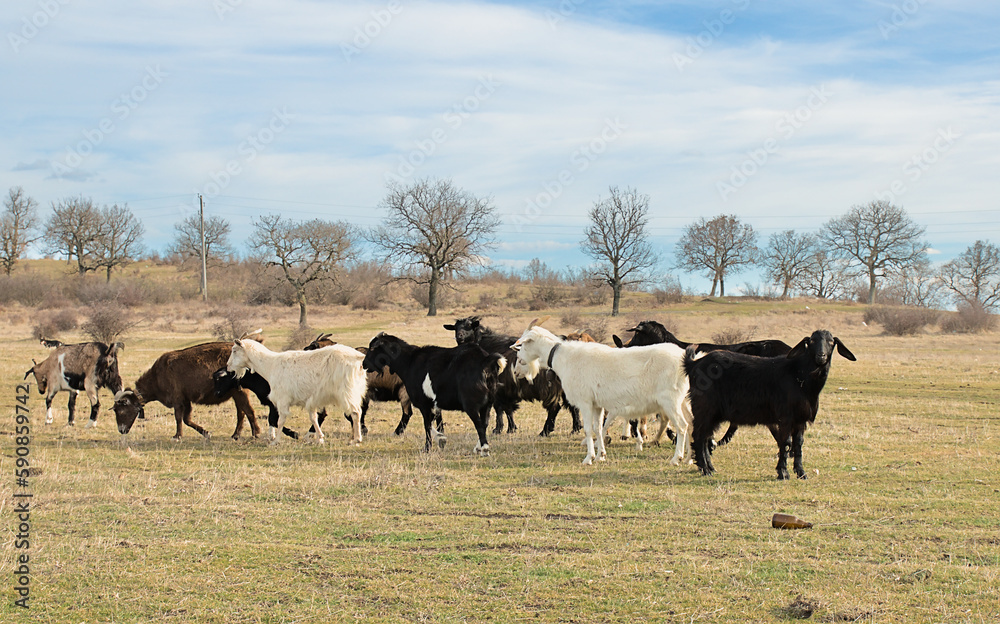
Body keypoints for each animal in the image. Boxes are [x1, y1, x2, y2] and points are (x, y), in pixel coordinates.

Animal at [113, 341, 259, 440]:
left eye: (120, 410)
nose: (121, 430)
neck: (158, 375)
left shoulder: (177, 400)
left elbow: (179, 418)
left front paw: (177, 436)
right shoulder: (186, 400)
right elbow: (187, 420)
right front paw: (206, 433)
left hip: (240, 392)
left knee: (249, 411)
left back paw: (255, 433)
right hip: (236, 394)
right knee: (241, 412)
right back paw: (236, 434)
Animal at [227, 339, 367, 445]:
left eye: (234, 350)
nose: (228, 366)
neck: (270, 364)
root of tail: (359, 358)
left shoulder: (282, 399)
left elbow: (280, 420)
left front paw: (276, 441)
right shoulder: (311, 400)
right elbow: (313, 418)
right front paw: (320, 438)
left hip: (347, 391)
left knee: (355, 412)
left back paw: (356, 439)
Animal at [362, 333, 506, 455]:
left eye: (373, 348)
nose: (364, 364)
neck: (409, 362)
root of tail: (485, 360)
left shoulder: (424, 403)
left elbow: (427, 424)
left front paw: (429, 447)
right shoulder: (434, 403)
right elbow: (435, 422)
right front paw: (441, 439)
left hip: (471, 404)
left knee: (479, 424)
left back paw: (484, 449)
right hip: (487, 403)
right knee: (484, 423)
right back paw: (478, 448)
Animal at [512, 325, 692, 466]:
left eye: (523, 345)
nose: (516, 370)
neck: (562, 357)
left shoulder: (585, 402)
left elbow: (587, 429)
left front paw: (588, 458)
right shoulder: (597, 404)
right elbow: (598, 428)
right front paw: (601, 455)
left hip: (671, 400)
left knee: (682, 426)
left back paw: (677, 458)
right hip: (683, 400)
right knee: (690, 423)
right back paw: (689, 458)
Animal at [684, 329, 856, 479]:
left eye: (831, 341)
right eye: (811, 341)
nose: (821, 356)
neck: (799, 376)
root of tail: (694, 364)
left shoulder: (800, 419)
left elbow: (798, 444)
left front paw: (801, 473)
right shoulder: (785, 417)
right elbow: (786, 443)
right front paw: (783, 473)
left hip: (713, 414)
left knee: (705, 437)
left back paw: (710, 467)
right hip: (704, 408)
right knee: (699, 436)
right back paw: (705, 470)